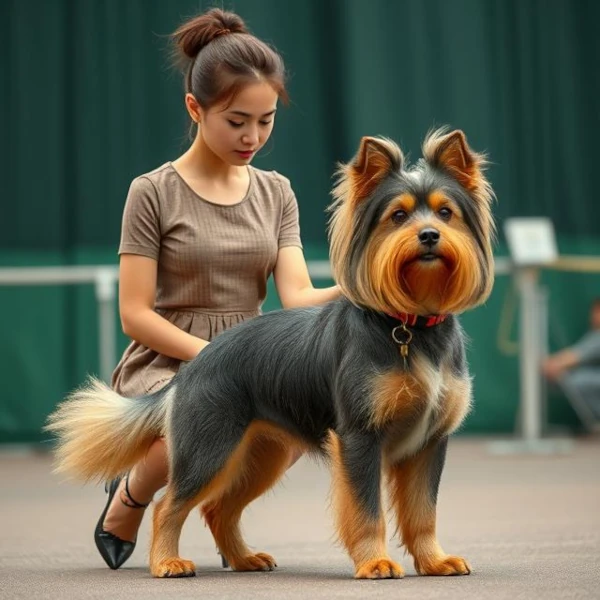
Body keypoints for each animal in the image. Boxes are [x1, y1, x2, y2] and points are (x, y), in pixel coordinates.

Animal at [47, 127, 494, 580]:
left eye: (445, 213)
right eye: (398, 217)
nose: (429, 236)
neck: (409, 325)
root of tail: (195, 365)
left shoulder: (430, 443)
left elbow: (424, 512)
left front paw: (435, 561)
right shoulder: (359, 437)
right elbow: (367, 511)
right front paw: (376, 561)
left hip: (263, 455)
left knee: (217, 509)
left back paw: (243, 559)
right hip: (211, 445)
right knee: (168, 504)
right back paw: (167, 562)